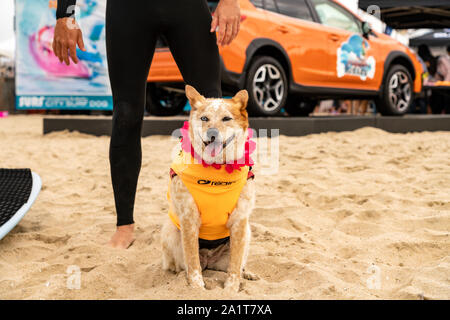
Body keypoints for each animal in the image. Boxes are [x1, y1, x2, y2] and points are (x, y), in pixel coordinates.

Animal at [161, 85, 256, 292]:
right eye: (204, 118)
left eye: (226, 118)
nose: (212, 133)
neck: (216, 169)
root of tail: (209, 259)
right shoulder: (189, 220)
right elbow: (193, 264)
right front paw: (197, 289)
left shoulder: (240, 221)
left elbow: (235, 266)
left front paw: (231, 290)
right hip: (170, 232)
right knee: (180, 266)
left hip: (247, 232)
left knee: (238, 264)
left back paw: (248, 274)